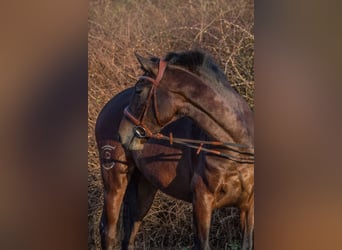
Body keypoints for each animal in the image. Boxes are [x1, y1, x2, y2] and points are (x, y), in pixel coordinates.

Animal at [96, 50, 244, 248]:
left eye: (139, 91)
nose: (123, 134)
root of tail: (108, 106)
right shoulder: (203, 201)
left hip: (143, 187)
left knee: (130, 232)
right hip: (114, 181)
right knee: (109, 230)